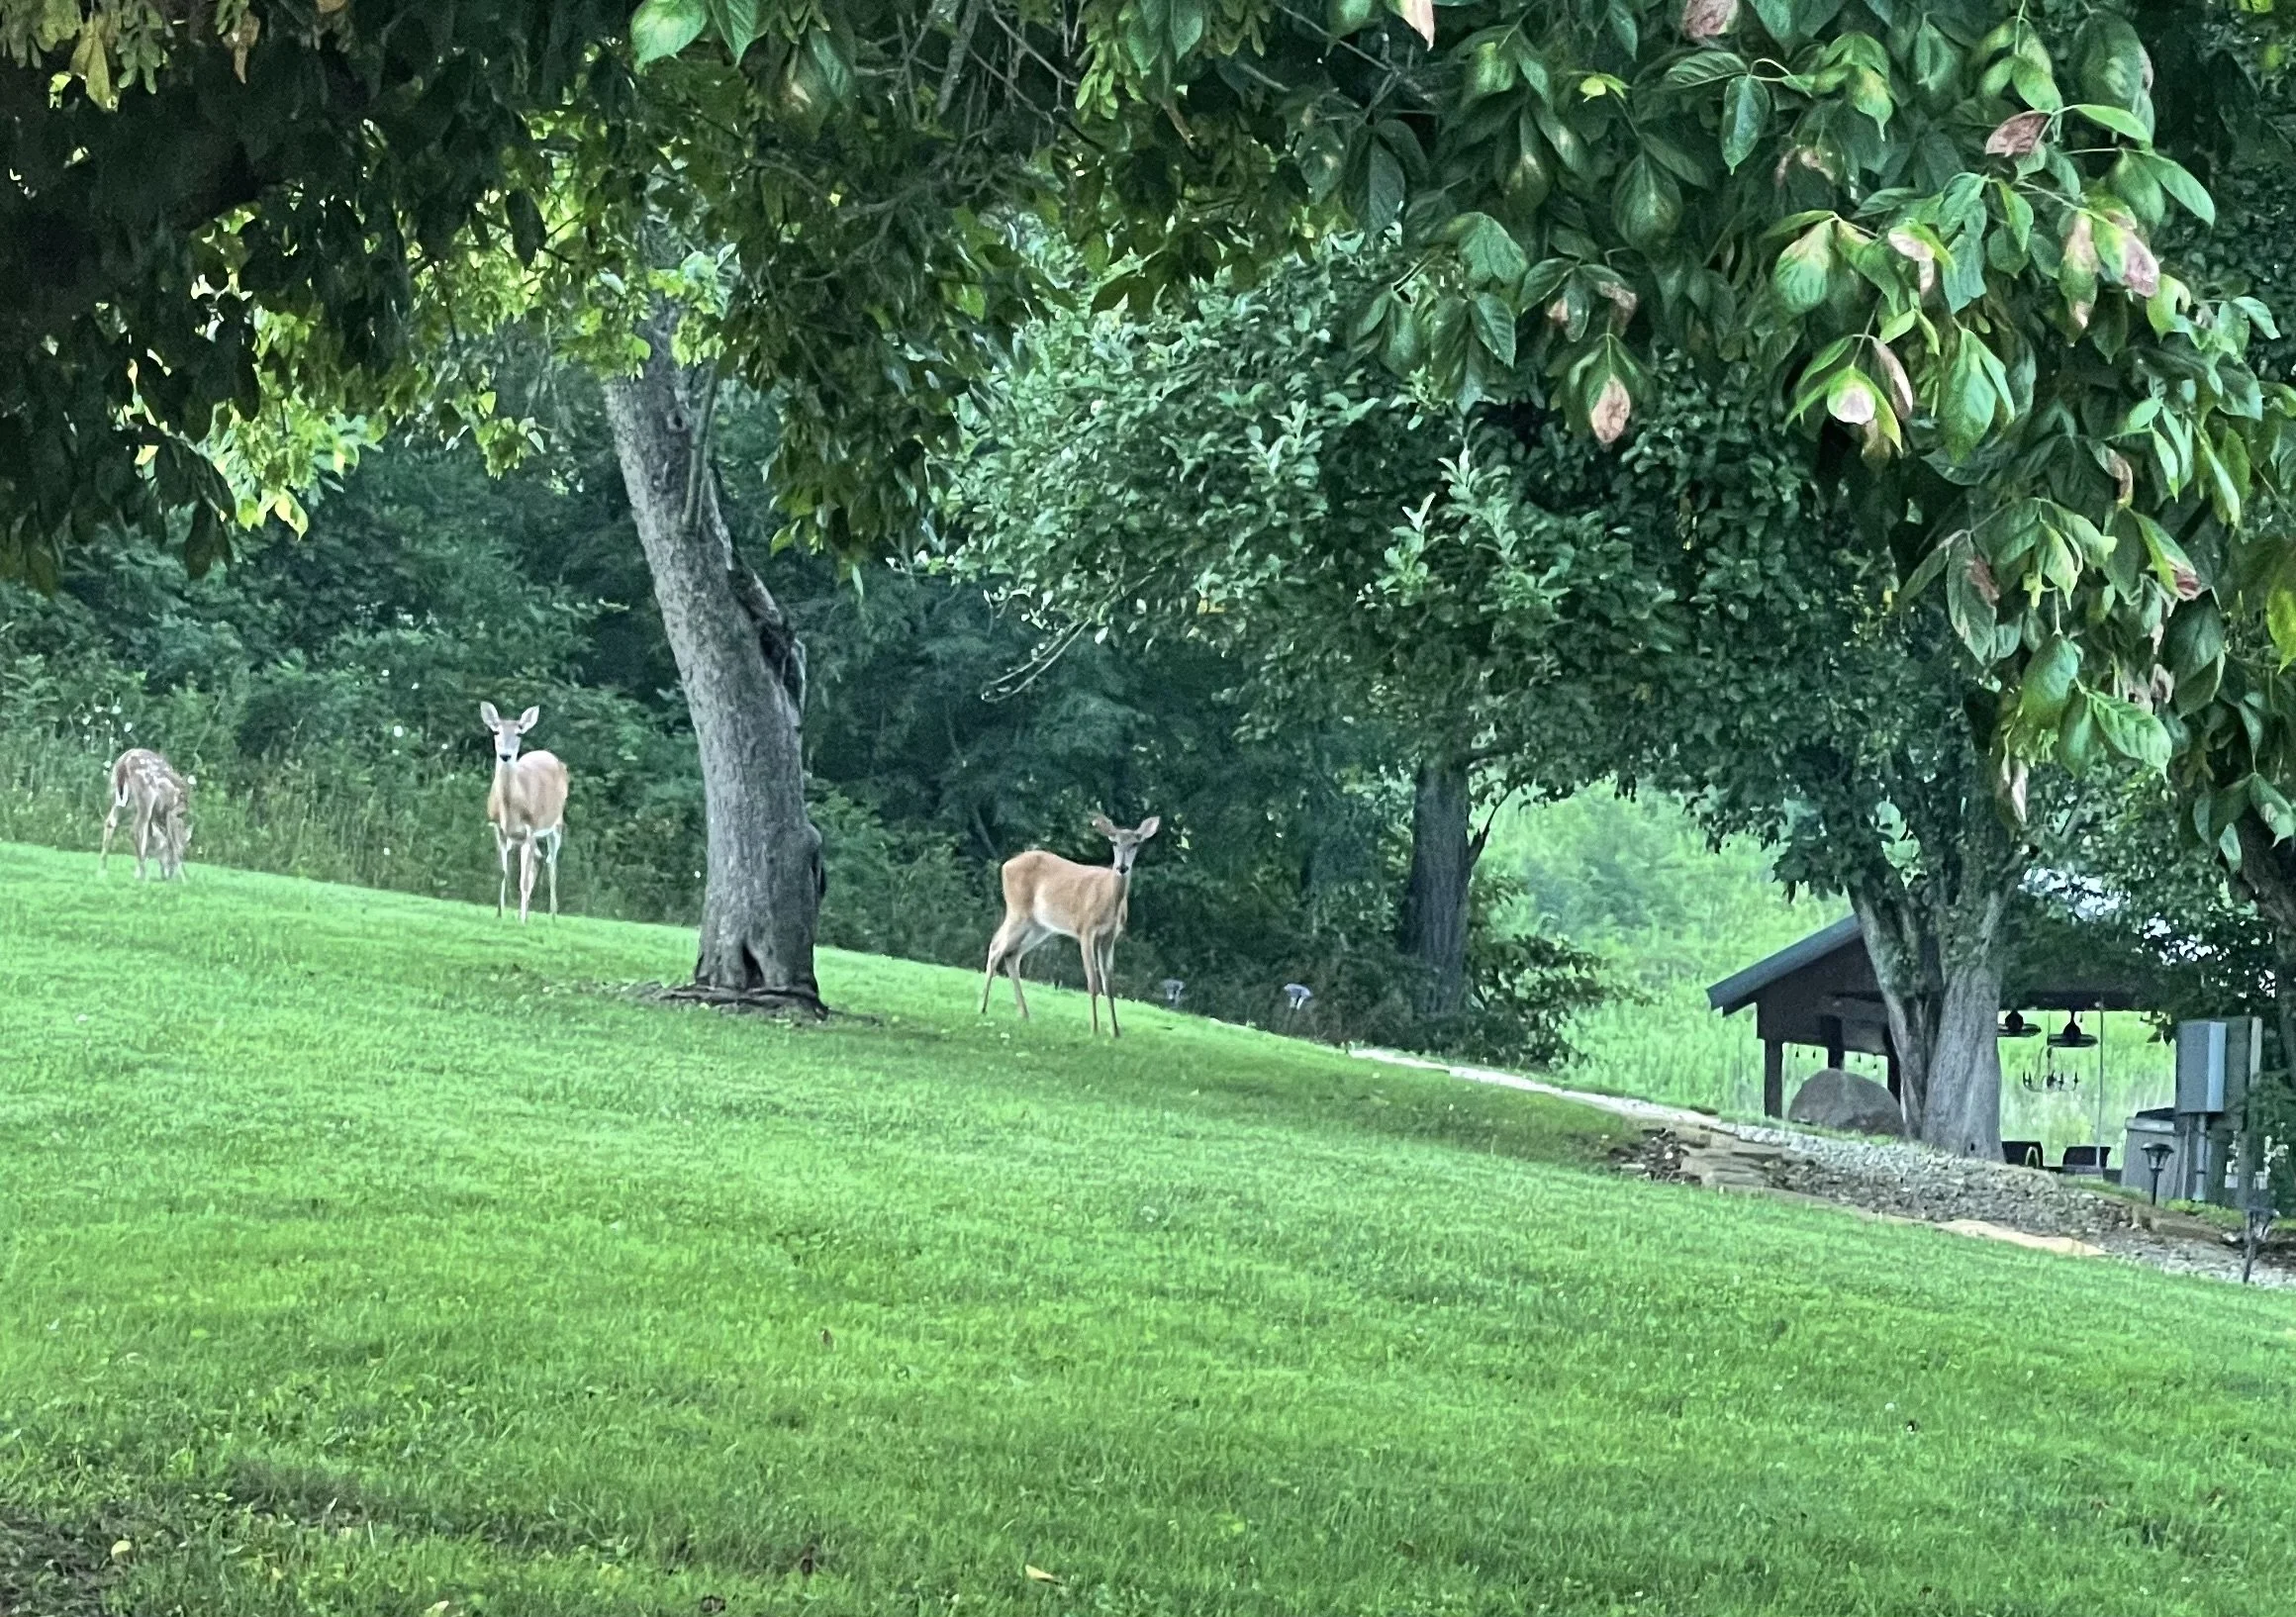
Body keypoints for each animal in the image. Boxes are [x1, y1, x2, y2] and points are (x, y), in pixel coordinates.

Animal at [101, 747, 191, 881]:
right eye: (185, 850)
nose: (168, 875)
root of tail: (123, 763)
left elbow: (148, 837)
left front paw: (137, 873)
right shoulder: (172, 811)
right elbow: (174, 842)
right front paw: (185, 878)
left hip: (118, 797)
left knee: (110, 823)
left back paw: (102, 870)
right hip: (146, 795)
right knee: (134, 830)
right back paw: (144, 875)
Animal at [480, 701, 570, 924]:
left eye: (519, 733)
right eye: (496, 731)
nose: (505, 755)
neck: (510, 807)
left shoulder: (531, 826)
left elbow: (523, 879)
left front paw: (522, 919)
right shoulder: (498, 828)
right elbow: (502, 871)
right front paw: (499, 912)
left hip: (555, 823)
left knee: (551, 862)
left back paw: (552, 914)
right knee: (539, 859)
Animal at [979, 814, 1160, 1037]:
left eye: (1135, 843)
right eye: (1114, 842)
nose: (1122, 868)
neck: (1109, 898)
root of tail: (1006, 865)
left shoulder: (1109, 937)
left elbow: (1109, 984)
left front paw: (1116, 1032)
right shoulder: (1086, 929)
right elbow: (1093, 982)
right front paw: (1094, 1028)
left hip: (1039, 926)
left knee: (1012, 955)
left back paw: (1025, 1014)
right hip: (1017, 910)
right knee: (996, 947)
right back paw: (983, 1008)